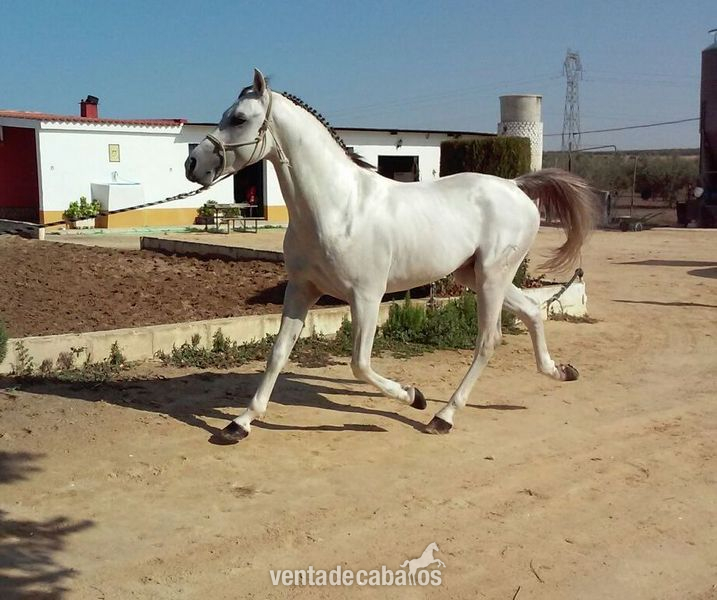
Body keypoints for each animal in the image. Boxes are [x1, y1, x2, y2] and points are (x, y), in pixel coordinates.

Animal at [185, 69, 595, 444]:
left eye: (239, 118)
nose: (192, 164)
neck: (338, 207)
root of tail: (516, 186)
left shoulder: (366, 296)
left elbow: (360, 364)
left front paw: (414, 396)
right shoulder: (302, 290)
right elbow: (277, 355)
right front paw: (238, 424)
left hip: (493, 276)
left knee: (488, 339)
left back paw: (442, 417)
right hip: (475, 275)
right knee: (532, 310)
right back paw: (561, 371)